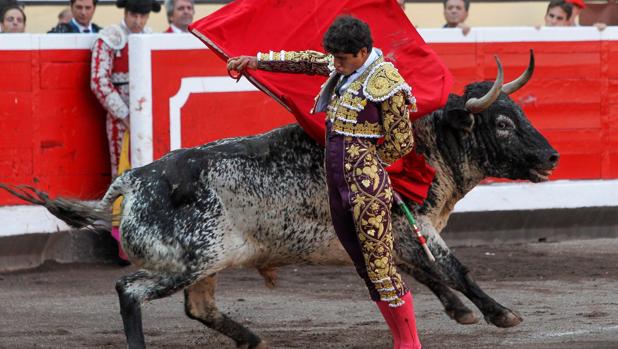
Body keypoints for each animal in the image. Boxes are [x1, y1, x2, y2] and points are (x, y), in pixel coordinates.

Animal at [1, 50, 560, 346]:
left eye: (520, 113)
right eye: (503, 123)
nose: (552, 156)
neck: (424, 145)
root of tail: (134, 179)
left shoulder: (395, 236)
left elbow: (423, 275)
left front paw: (463, 313)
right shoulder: (411, 227)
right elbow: (452, 269)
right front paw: (499, 314)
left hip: (211, 260)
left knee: (199, 307)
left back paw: (252, 338)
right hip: (186, 260)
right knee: (129, 289)